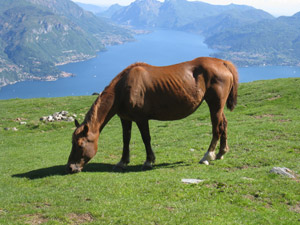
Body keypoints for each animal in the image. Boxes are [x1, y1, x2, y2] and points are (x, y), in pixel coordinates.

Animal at [67, 57, 238, 173]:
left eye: (80, 144)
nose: (70, 167)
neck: (123, 88)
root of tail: (222, 62)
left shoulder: (141, 119)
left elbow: (146, 138)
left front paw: (149, 161)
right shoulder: (125, 119)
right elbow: (125, 139)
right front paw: (122, 162)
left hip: (215, 105)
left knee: (216, 128)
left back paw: (207, 156)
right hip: (218, 107)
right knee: (224, 125)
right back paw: (221, 152)